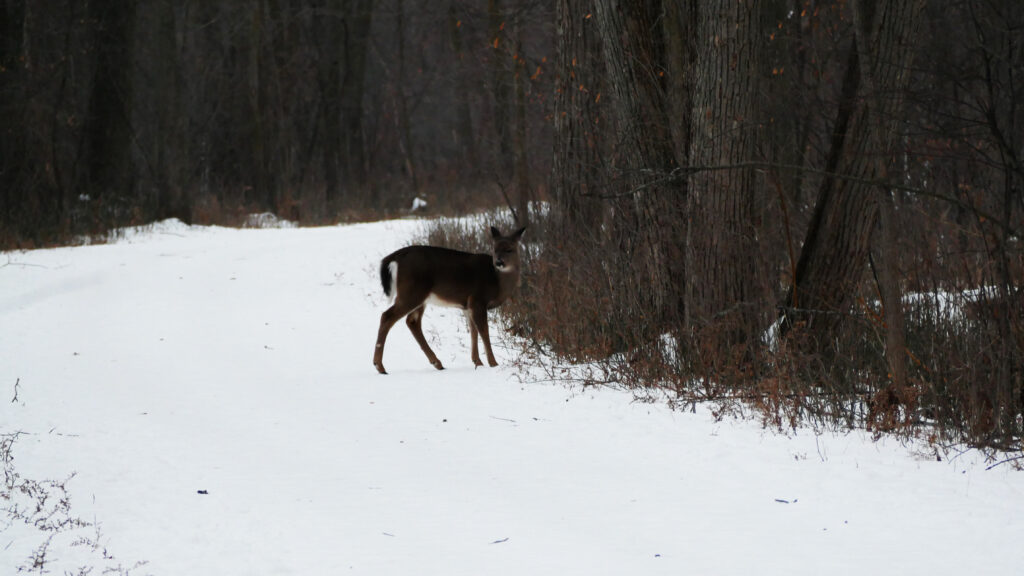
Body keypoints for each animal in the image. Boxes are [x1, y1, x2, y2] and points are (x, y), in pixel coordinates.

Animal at [372, 224, 524, 373]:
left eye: (509, 249)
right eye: (495, 249)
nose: (499, 262)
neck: (497, 281)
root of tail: (395, 256)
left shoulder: (467, 305)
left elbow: (473, 331)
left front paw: (477, 362)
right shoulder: (478, 299)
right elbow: (484, 331)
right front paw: (493, 364)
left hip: (420, 297)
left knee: (412, 321)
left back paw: (437, 363)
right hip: (411, 291)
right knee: (387, 316)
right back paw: (380, 366)